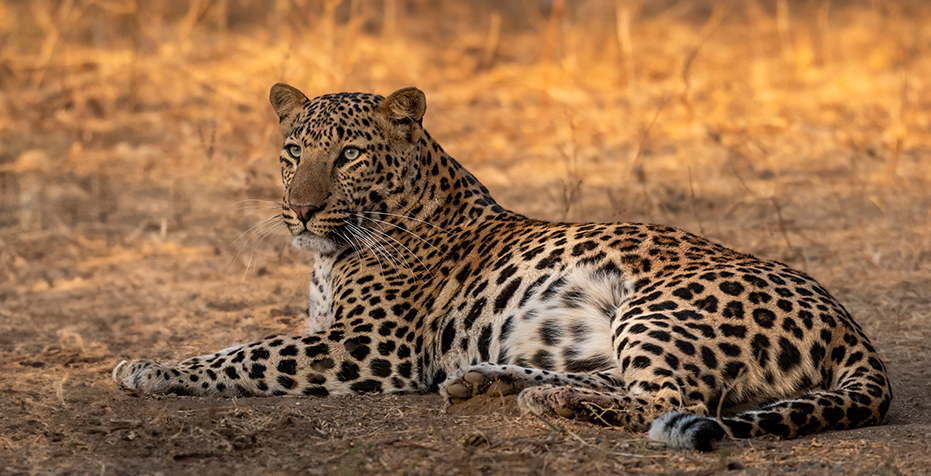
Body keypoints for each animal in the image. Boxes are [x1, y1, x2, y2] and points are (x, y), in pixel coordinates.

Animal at [113, 83, 892, 451]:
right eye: (293, 152)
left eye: (349, 155)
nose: (299, 211)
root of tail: (850, 326)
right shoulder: (333, 332)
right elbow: (247, 344)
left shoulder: (369, 346)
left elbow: (243, 353)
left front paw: (148, 366)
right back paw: (490, 382)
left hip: (657, 307)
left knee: (673, 402)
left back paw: (541, 400)